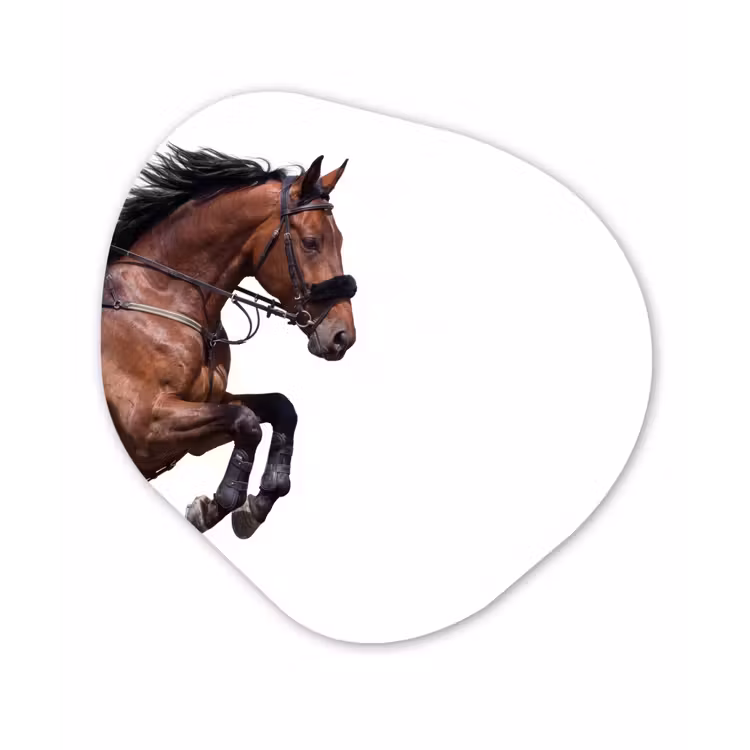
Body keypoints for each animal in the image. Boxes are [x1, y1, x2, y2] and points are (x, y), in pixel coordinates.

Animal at [100, 145, 357, 539]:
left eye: (340, 240)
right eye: (311, 243)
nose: (344, 337)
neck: (166, 296)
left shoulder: (202, 414)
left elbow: (279, 408)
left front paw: (257, 503)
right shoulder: (146, 424)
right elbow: (246, 421)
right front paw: (219, 505)